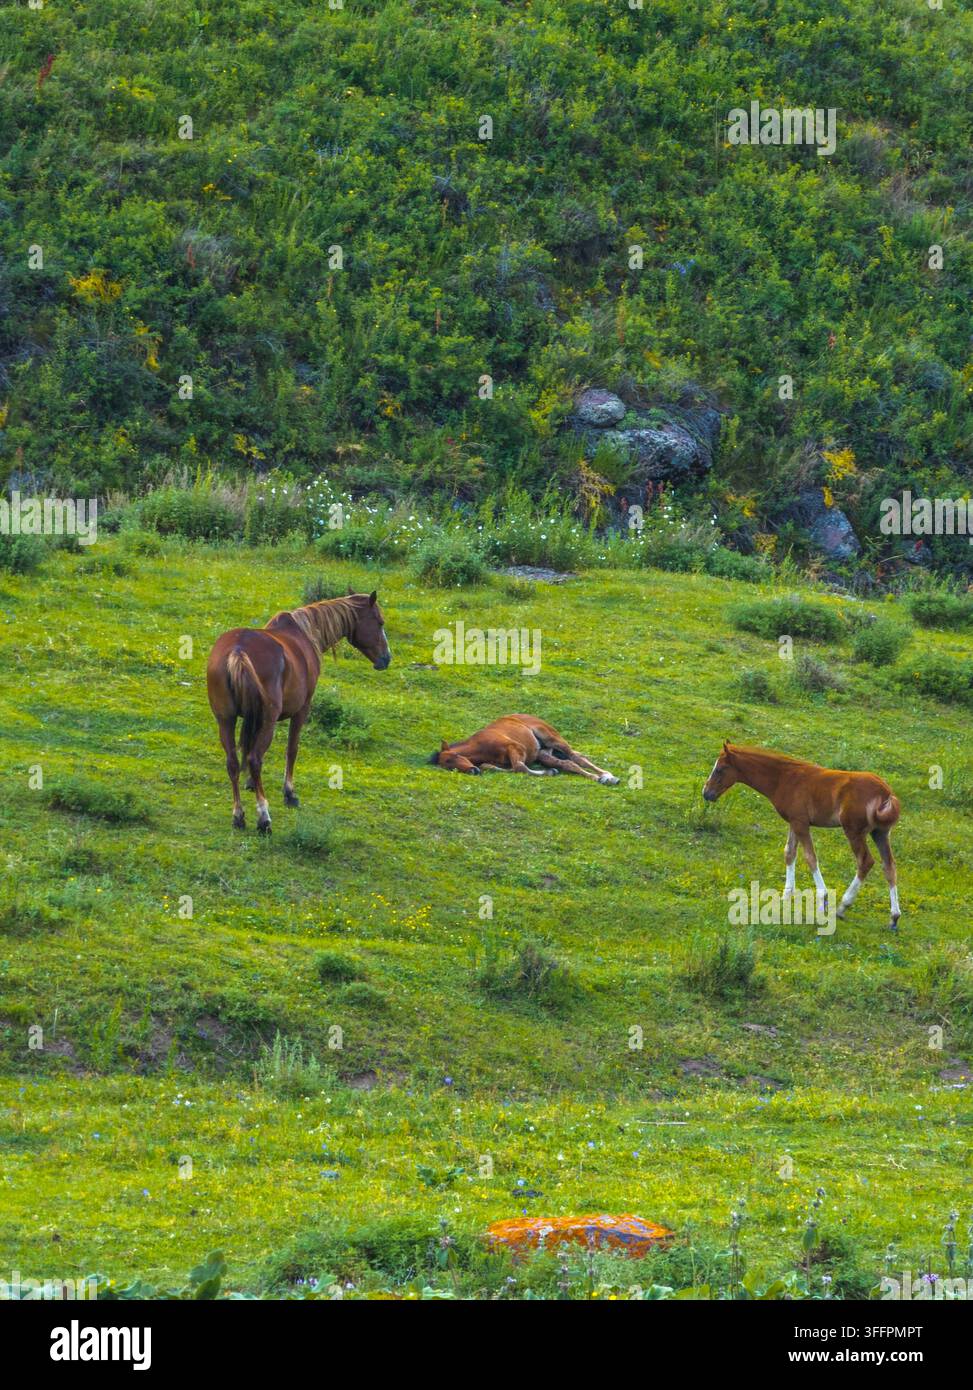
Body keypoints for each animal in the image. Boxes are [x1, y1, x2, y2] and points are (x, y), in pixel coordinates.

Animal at [206, 592, 391, 833]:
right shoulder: (302, 710)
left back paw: (238, 816)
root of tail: (238, 650)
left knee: (233, 763)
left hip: (225, 720)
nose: (387, 658)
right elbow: (291, 749)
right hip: (267, 720)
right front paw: (289, 793)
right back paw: (264, 817)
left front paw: (250, 784)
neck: (304, 634)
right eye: (380, 622)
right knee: (255, 759)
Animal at [430, 715, 619, 784]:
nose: (472, 771)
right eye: (449, 767)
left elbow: (520, 767)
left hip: (552, 738)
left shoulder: (516, 747)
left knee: (577, 757)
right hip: (543, 753)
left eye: (454, 756)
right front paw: (550, 772)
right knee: (568, 762)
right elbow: (494, 767)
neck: (480, 746)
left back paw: (605, 776)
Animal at [702, 742, 902, 929]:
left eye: (719, 769)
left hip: (853, 831)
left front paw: (823, 900)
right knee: (889, 866)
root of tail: (886, 793)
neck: (784, 779)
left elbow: (810, 857)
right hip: (880, 833)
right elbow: (789, 853)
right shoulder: (794, 822)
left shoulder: (801, 823)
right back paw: (894, 916)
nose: (706, 793)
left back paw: (843, 906)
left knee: (865, 861)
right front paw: (785, 896)